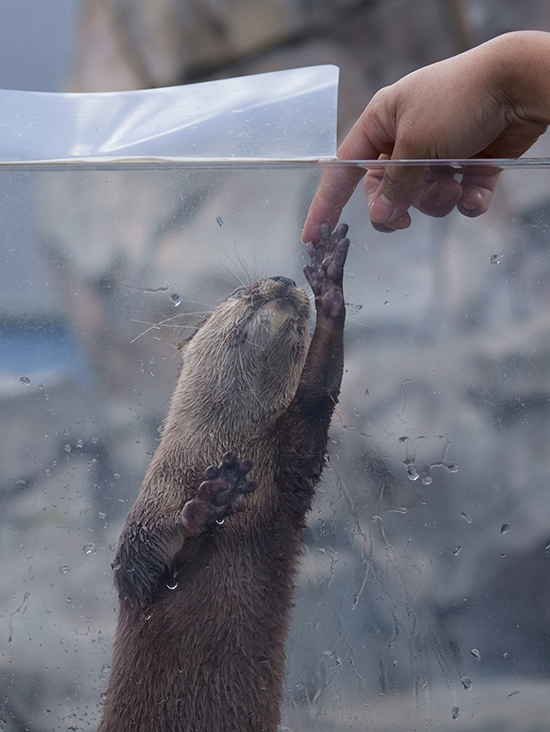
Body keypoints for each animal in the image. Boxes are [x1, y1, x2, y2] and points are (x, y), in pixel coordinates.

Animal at [98, 223, 350, 732]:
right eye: (237, 291)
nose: (284, 281)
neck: (219, 449)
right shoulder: (151, 498)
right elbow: (134, 564)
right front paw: (206, 503)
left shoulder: (290, 465)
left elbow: (316, 397)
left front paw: (330, 286)